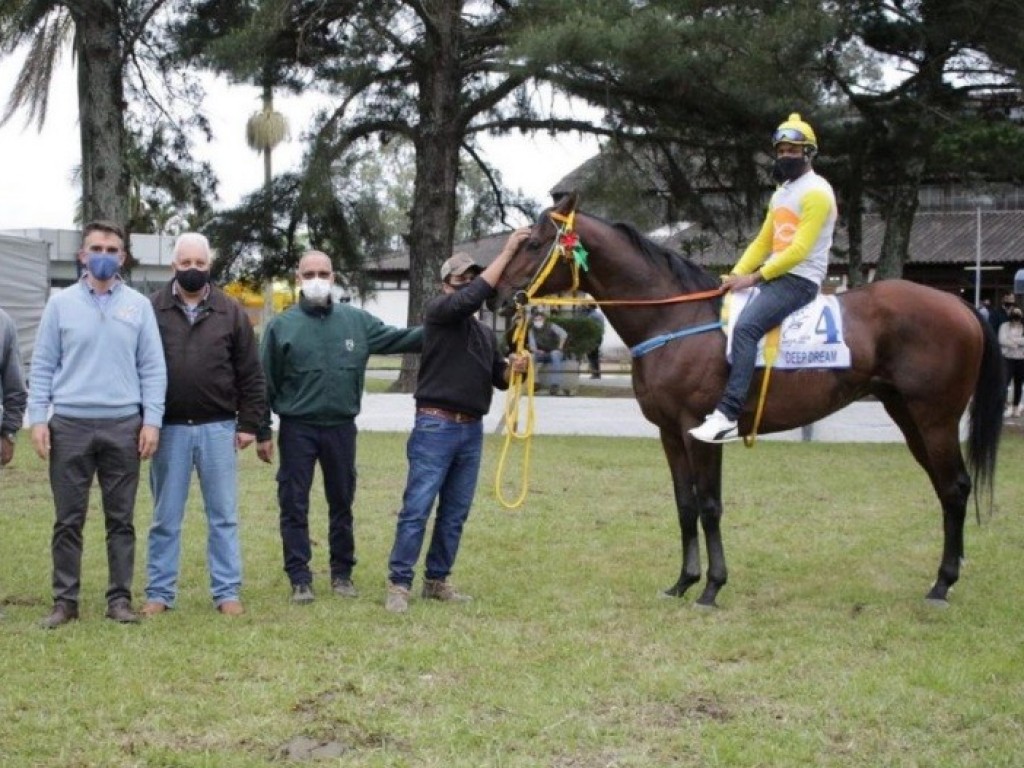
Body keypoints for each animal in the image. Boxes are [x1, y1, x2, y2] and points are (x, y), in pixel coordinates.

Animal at [491, 191, 1003, 606]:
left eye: (534, 244)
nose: (498, 296)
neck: (676, 319)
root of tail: (961, 303)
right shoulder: (670, 434)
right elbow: (684, 506)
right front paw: (683, 582)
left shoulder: (700, 432)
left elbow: (709, 506)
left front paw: (712, 587)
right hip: (908, 415)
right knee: (944, 488)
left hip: (935, 418)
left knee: (956, 487)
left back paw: (942, 583)